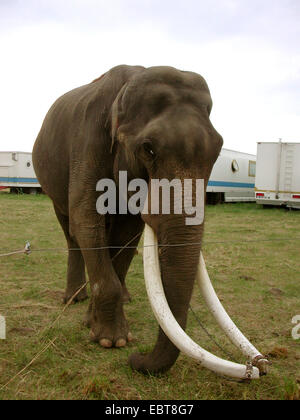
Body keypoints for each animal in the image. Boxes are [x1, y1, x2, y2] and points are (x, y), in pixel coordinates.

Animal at [32, 65, 227, 374]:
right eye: (148, 148)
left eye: (218, 150)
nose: (137, 359)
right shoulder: (88, 141)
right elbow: (86, 221)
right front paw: (112, 340)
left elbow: (127, 232)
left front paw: (97, 325)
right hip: (52, 181)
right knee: (70, 229)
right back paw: (74, 298)